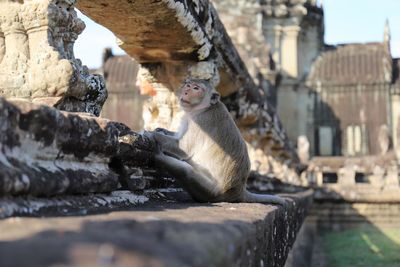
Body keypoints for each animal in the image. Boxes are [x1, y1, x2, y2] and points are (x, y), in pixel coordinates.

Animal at [146, 78, 284, 205]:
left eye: (196, 88)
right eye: (188, 85)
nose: (185, 91)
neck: (205, 108)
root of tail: (240, 190)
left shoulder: (200, 121)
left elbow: (183, 149)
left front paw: (151, 134)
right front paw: (160, 130)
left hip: (213, 191)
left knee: (186, 172)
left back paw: (159, 157)